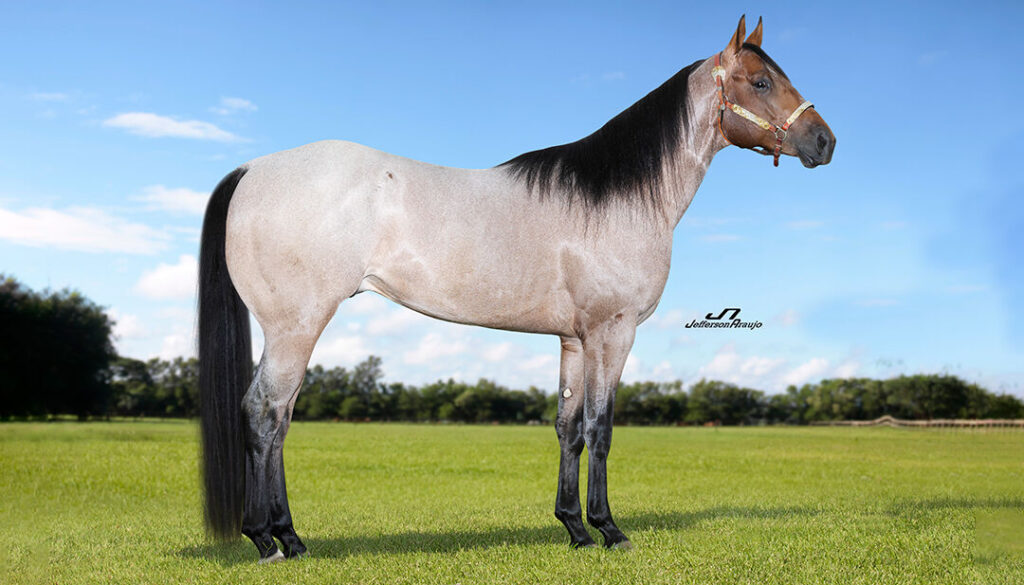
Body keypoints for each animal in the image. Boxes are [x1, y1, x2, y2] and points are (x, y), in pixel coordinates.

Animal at [197, 15, 835, 563]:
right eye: (760, 81)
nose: (824, 142)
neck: (616, 199)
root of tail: (252, 170)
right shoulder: (612, 334)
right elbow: (601, 428)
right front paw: (610, 530)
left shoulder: (574, 340)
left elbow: (569, 429)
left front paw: (575, 528)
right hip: (295, 326)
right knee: (264, 414)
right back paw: (271, 539)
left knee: (279, 420)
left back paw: (286, 537)